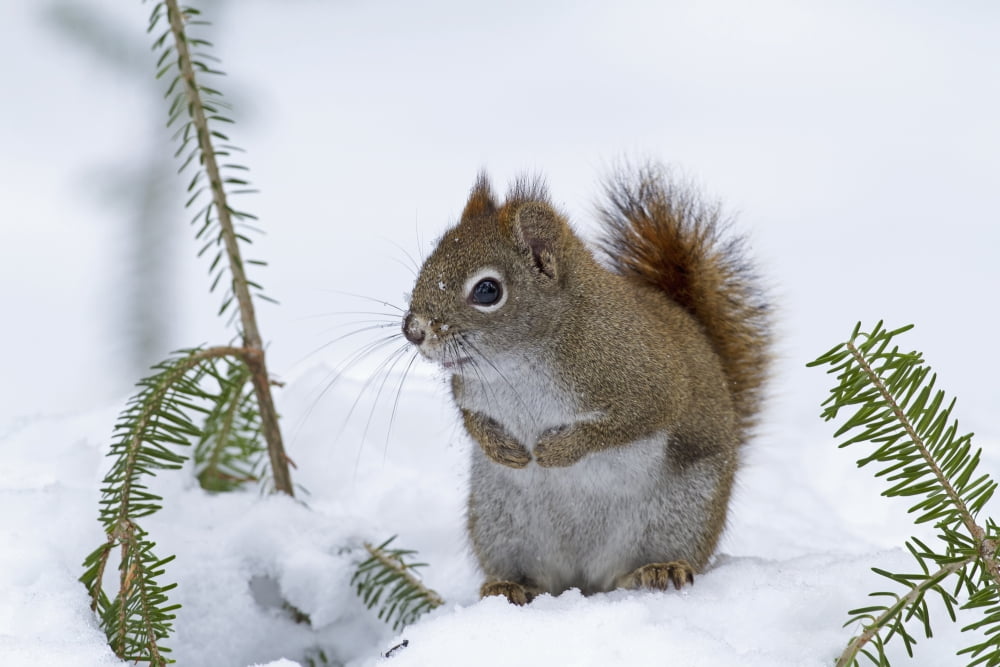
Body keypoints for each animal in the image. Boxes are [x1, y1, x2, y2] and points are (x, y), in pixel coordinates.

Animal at [401, 162, 771, 605]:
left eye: (487, 290)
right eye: (427, 265)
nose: (413, 331)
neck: (520, 363)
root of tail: (585, 580)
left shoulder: (651, 382)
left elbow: (627, 424)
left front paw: (556, 451)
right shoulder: (469, 390)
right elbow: (471, 418)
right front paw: (502, 448)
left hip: (682, 512)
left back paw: (659, 569)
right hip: (501, 524)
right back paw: (510, 585)